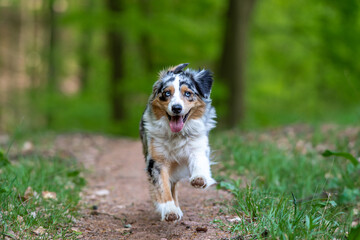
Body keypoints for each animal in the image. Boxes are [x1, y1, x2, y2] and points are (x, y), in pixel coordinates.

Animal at [139, 62, 215, 221]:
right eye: (167, 93)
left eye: (188, 93)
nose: (176, 108)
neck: (177, 135)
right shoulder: (157, 160)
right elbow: (163, 187)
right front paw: (170, 210)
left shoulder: (197, 145)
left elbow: (199, 161)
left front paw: (199, 178)